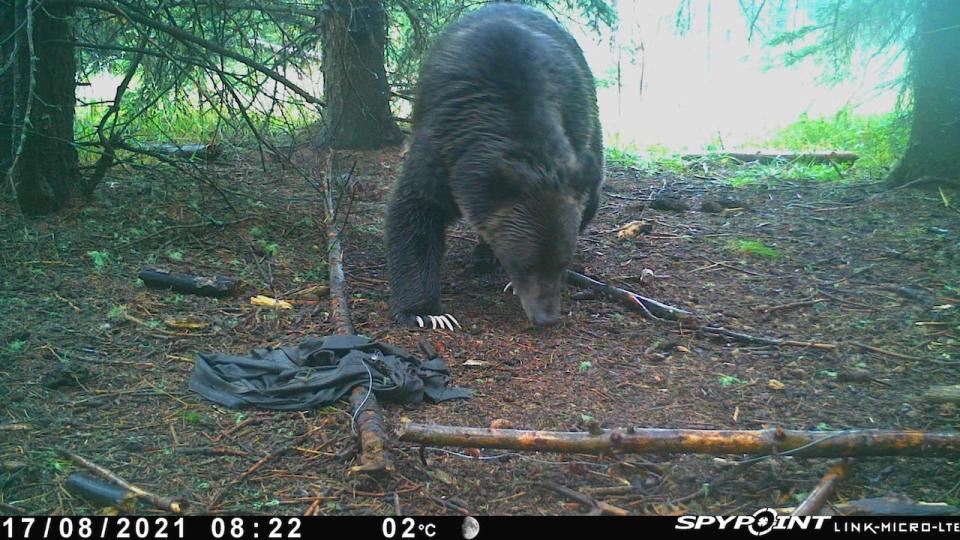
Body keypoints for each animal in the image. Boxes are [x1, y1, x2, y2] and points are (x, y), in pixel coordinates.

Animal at [386, 3, 604, 330]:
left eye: (562, 263)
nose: (546, 318)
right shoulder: (442, 148)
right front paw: (427, 311)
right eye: (525, 264)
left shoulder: (575, 125)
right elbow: (417, 210)